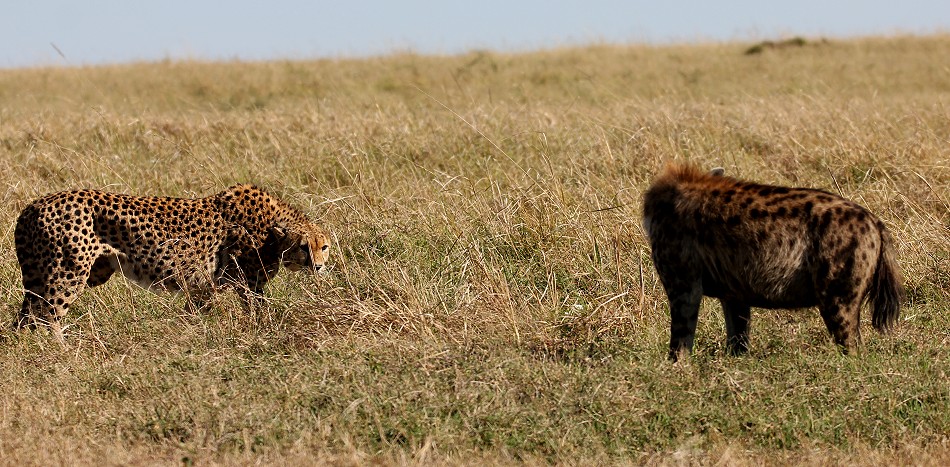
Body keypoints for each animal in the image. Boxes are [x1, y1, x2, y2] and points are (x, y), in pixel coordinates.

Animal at [12, 185, 334, 342]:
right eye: (304, 247)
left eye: (324, 247)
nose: (318, 266)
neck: (271, 232)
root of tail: (34, 205)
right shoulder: (248, 284)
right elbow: (260, 312)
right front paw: (267, 331)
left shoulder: (204, 287)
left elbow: (193, 313)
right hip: (67, 274)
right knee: (49, 316)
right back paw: (61, 352)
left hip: (45, 277)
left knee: (26, 318)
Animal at [644, 165, 904, 362]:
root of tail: (875, 222)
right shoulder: (734, 290)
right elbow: (738, 334)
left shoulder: (683, 278)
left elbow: (681, 333)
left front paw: (676, 368)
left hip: (837, 292)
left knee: (851, 344)